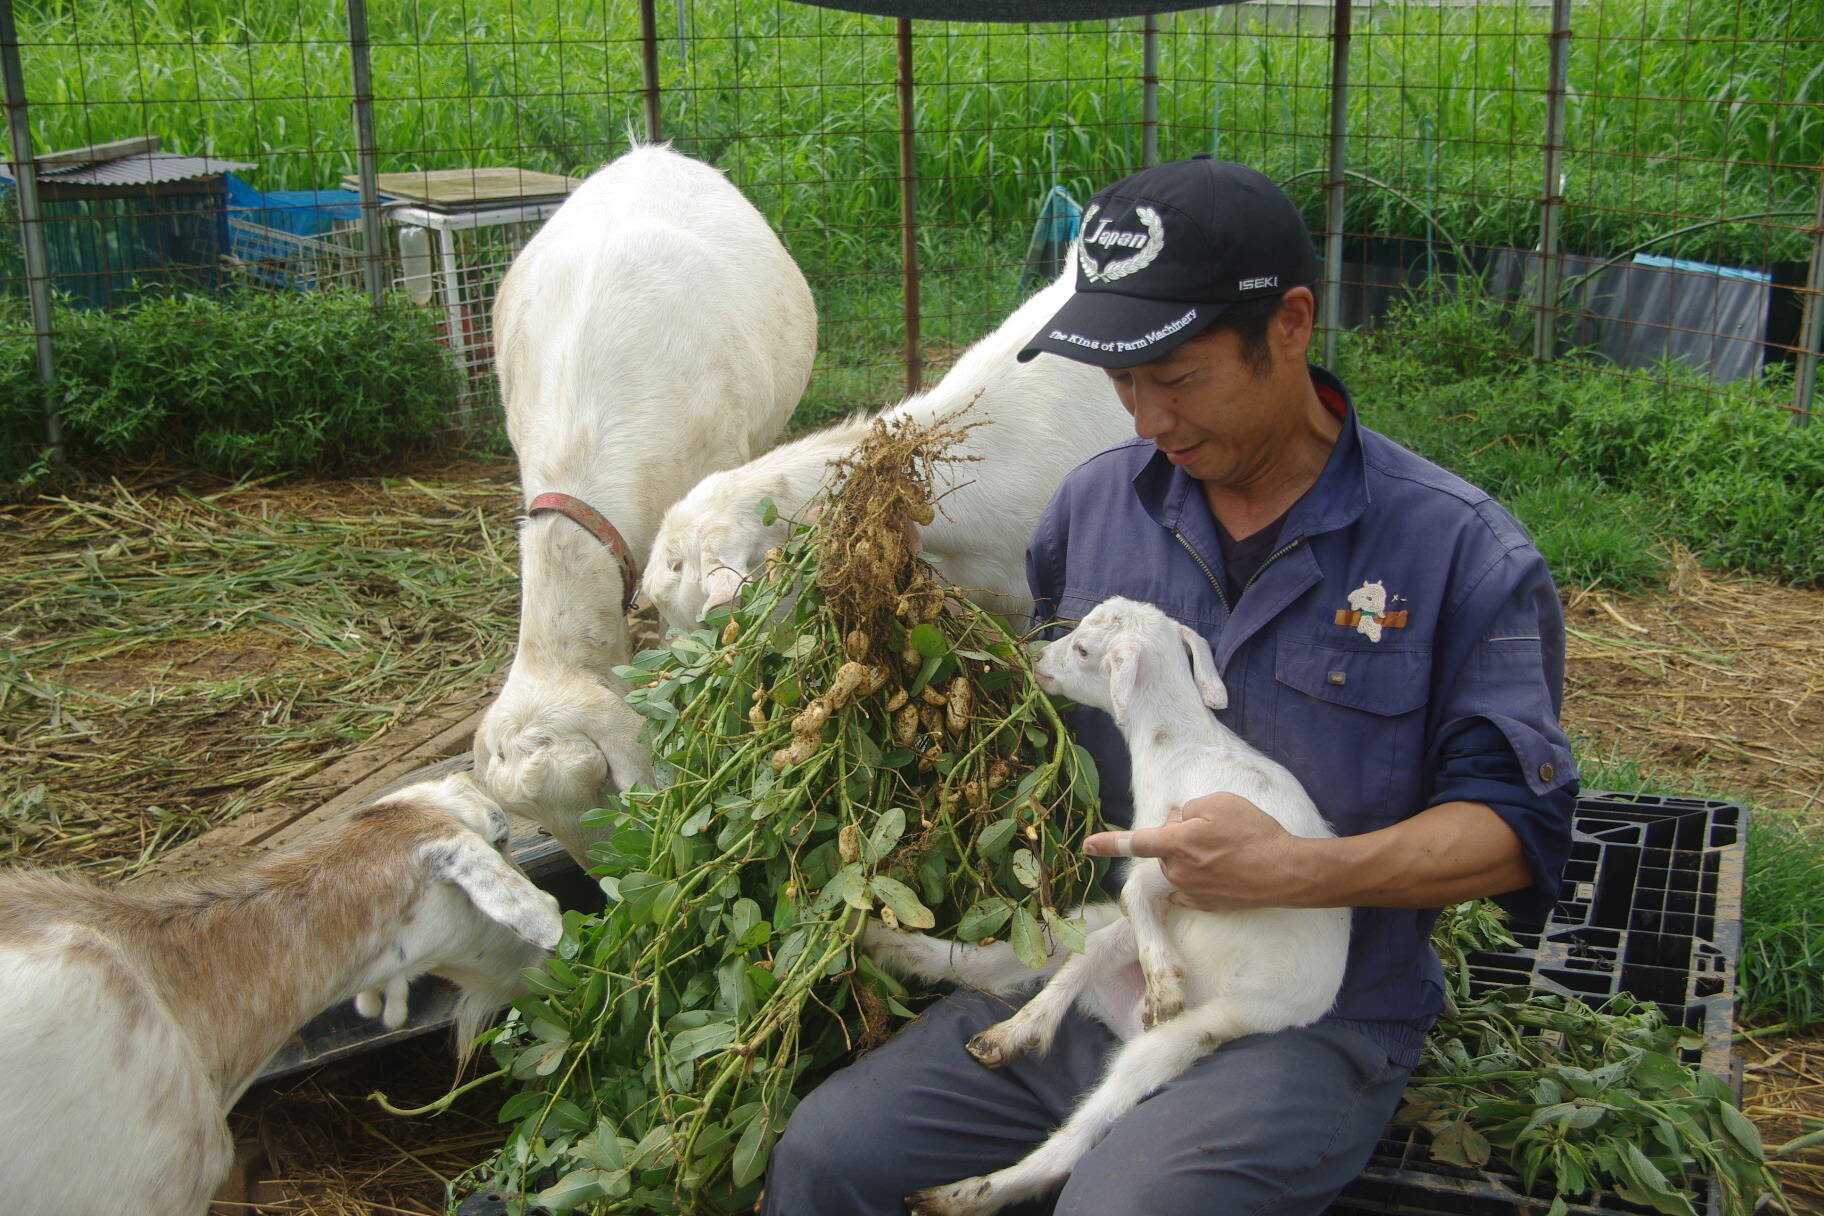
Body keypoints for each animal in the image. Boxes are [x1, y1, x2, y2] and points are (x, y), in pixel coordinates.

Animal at [868, 597, 1357, 1216]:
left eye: (1082, 650)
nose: (1036, 656)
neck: (1182, 744)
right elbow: (1122, 912)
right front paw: (1161, 977)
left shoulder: (1189, 852)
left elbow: (1134, 888)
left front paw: (1165, 982)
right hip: (1082, 931)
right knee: (1032, 961)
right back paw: (928, 974)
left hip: (1207, 1026)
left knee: (1075, 1141)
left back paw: (961, 1193)